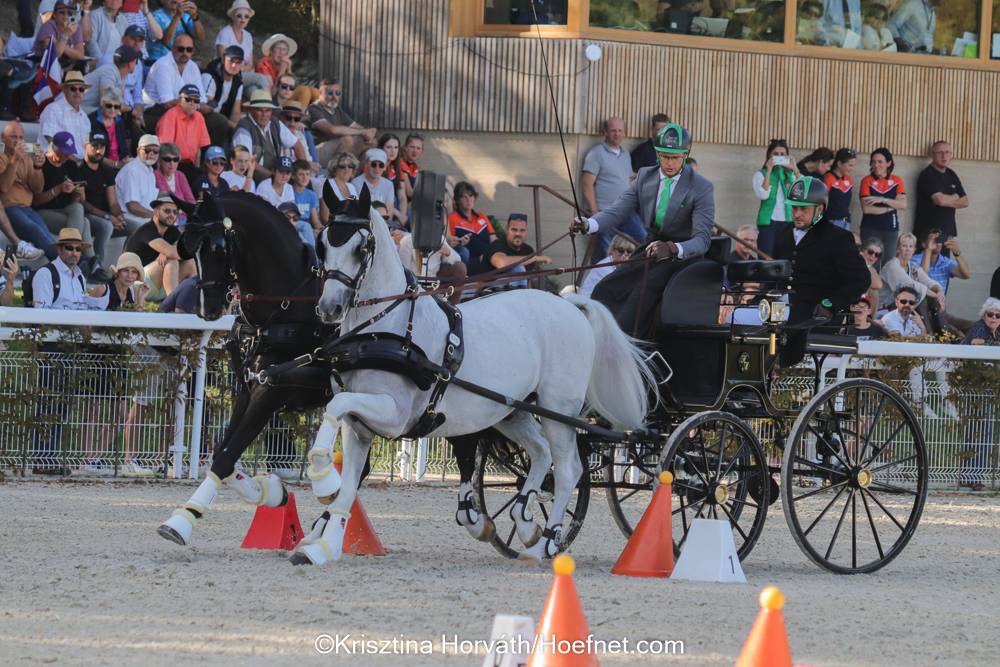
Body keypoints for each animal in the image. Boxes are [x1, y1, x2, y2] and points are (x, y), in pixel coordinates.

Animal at [157, 192, 336, 547]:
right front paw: (270, 491)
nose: (207, 309)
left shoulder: (271, 390)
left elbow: (228, 455)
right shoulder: (249, 386)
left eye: (216, 247)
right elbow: (222, 453)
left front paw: (181, 521)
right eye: (188, 249)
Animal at [290, 184, 657, 565]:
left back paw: (545, 543)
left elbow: (335, 409)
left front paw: (320, 477)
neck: (385, 330)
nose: (329, 308)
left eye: (361, 247)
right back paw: (526, 524)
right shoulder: (360, 428)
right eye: (323, 244)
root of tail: (571, 305)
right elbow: (348, 485)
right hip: (513, 411)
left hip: (559, 409)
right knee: (541, 454)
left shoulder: (396, 414)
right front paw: (322, 544)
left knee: (568, 469)